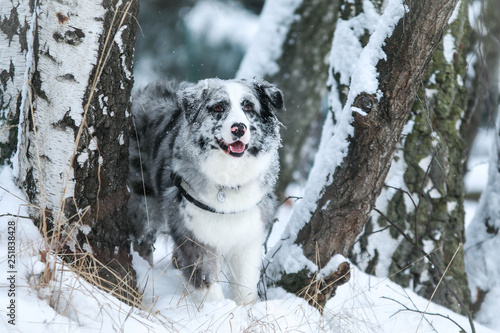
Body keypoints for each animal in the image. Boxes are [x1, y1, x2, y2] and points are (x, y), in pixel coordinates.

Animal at [127, 77, 284, 304]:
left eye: (248, 107)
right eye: (218, 108)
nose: (239, 128)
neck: (228, 180)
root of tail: (140, 93)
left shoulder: (248, 238)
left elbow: (245, 288)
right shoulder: (194, 235)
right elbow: (207, 285)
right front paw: (219, 310)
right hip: (144, 204)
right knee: (142, 243)